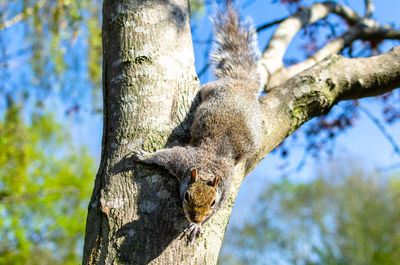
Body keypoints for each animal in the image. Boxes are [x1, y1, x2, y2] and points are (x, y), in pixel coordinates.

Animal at [131, 5, 262, 242]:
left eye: (212, 202)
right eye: (186, 196)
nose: (195, 218)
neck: (207, 169)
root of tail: (241, 84)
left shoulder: (225, 189)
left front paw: (196, 227)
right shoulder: (181, 159)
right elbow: (162, 155)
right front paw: (145, 156)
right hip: (212, 89)